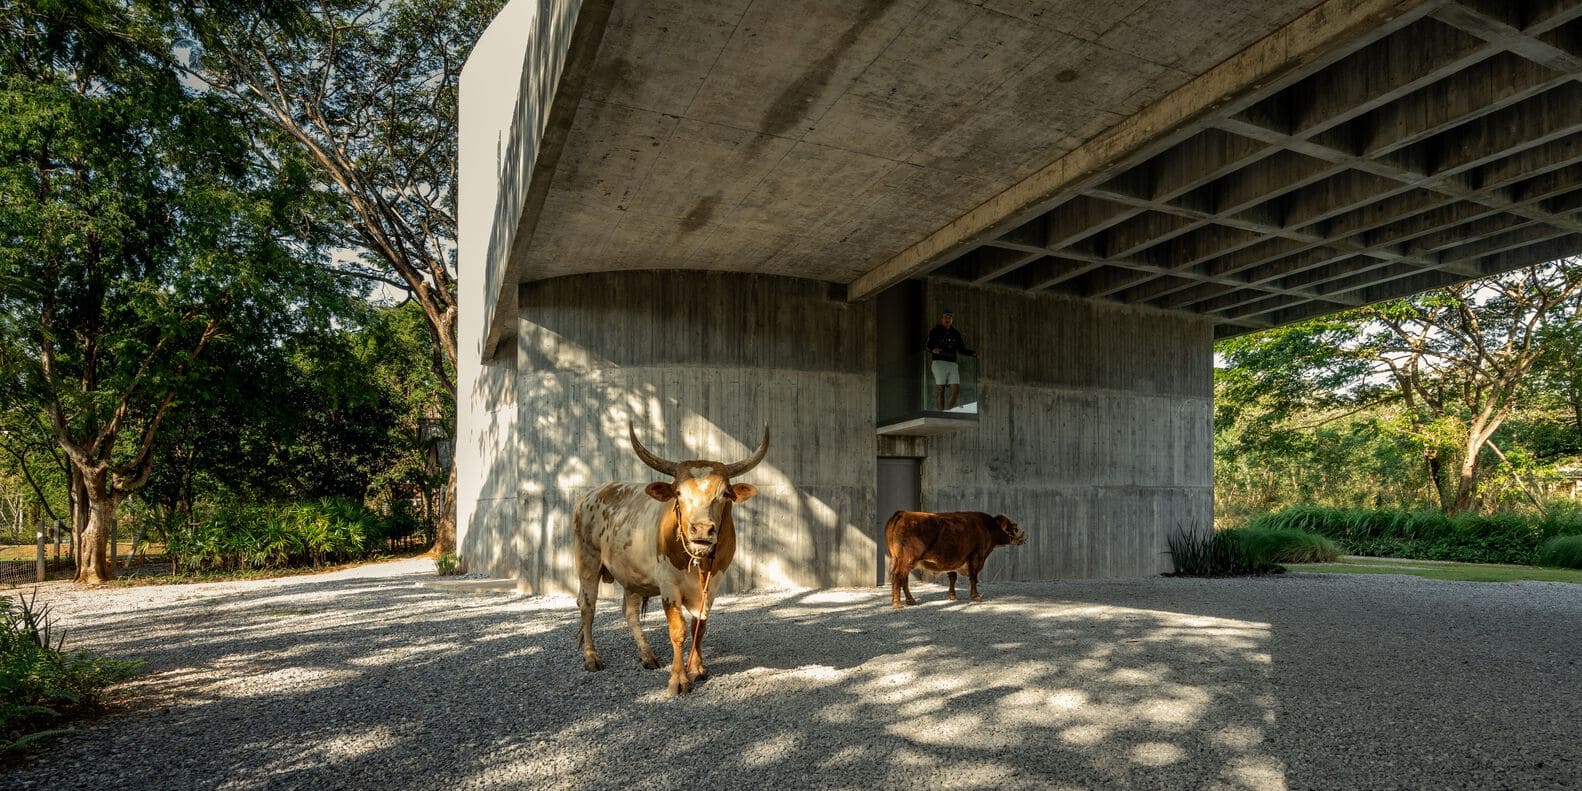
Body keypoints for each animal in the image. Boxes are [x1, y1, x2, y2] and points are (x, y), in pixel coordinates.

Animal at [573, 423, 768, 695]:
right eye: (678, 493)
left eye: (725, 494)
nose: (701, 530)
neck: (699, 563)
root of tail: (591, 493)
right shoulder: (668, 585)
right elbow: (679, 630)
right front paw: (679, 679)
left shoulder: (713, 584)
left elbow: (700, 627)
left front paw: (696, 669)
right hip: (588, 563)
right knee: (587, 607)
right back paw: (591, 657)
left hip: (631, 574)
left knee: (629, 612)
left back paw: (647, 656)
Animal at [885, 511, 1027, 608]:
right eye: (1014, 527)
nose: (1025, 537)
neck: (987, 527)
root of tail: (903, 513)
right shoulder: (976, 556)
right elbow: (973, 577)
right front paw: (976, 596)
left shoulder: (952, 560)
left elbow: (952, 577)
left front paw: (951, 596)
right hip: (907, 560)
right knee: (898, 577)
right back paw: (897, 604)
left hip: (899, 560)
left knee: (903, 579)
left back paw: (910, 601)